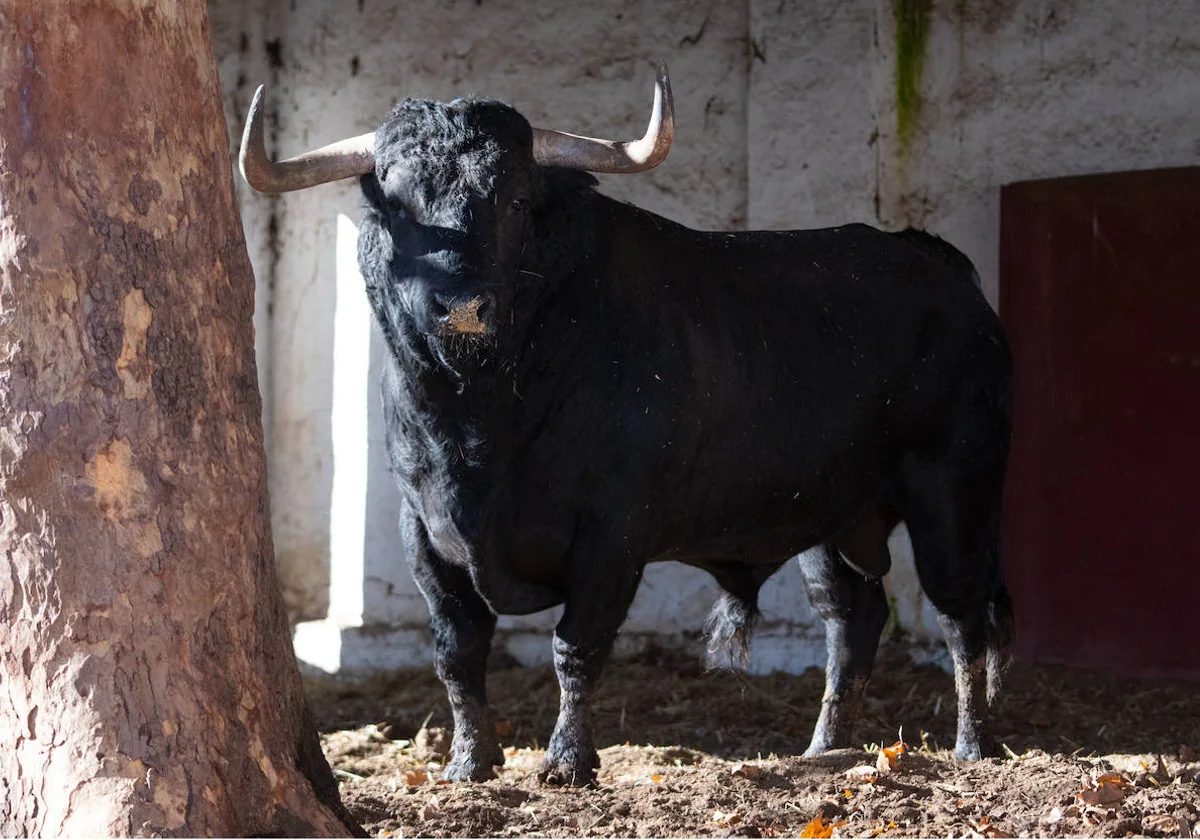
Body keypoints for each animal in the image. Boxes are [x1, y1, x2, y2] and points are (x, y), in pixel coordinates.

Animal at [241, 67, 1012, 787]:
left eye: (513, 199)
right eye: (399, 205)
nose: (460, 307)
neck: (481, 424)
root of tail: (940, 263)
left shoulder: (612, 534)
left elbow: (575, 648)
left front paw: (566, 762)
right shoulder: (423, 529)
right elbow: (457, 651)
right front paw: (469, 762)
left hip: (953, 490)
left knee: (961, 612)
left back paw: (972, 748)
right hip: (829, 515)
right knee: (851, 616)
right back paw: (826, 750)